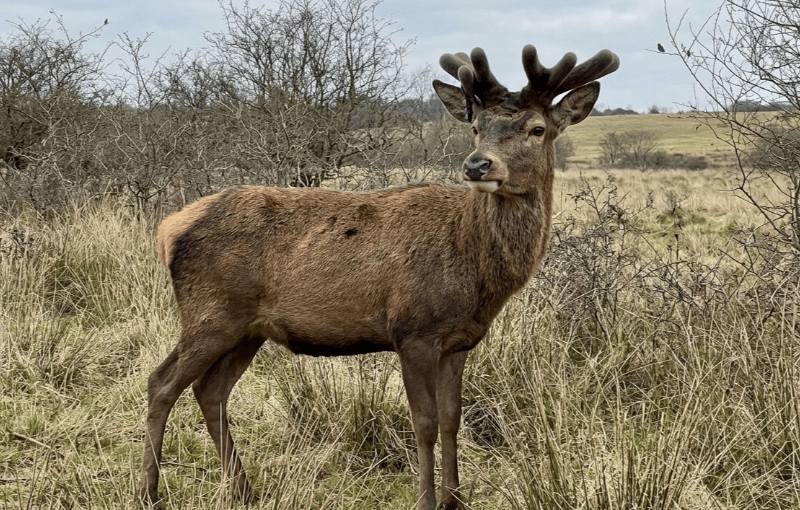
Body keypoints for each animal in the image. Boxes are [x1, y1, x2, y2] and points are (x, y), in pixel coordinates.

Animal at [138, 44, 619, 510]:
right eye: (476, 127)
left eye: (537, 128)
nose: (478, 165)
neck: (474, 267)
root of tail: (168, 229)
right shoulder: (413, 330)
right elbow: (424, 422)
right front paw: (427, 500)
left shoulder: (460, 341)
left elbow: (452, 419)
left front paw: (456, 499)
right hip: (210, 313)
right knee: (161, 383)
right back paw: (149, 491)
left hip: (247, 329)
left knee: (210, 391)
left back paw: (243, 490)